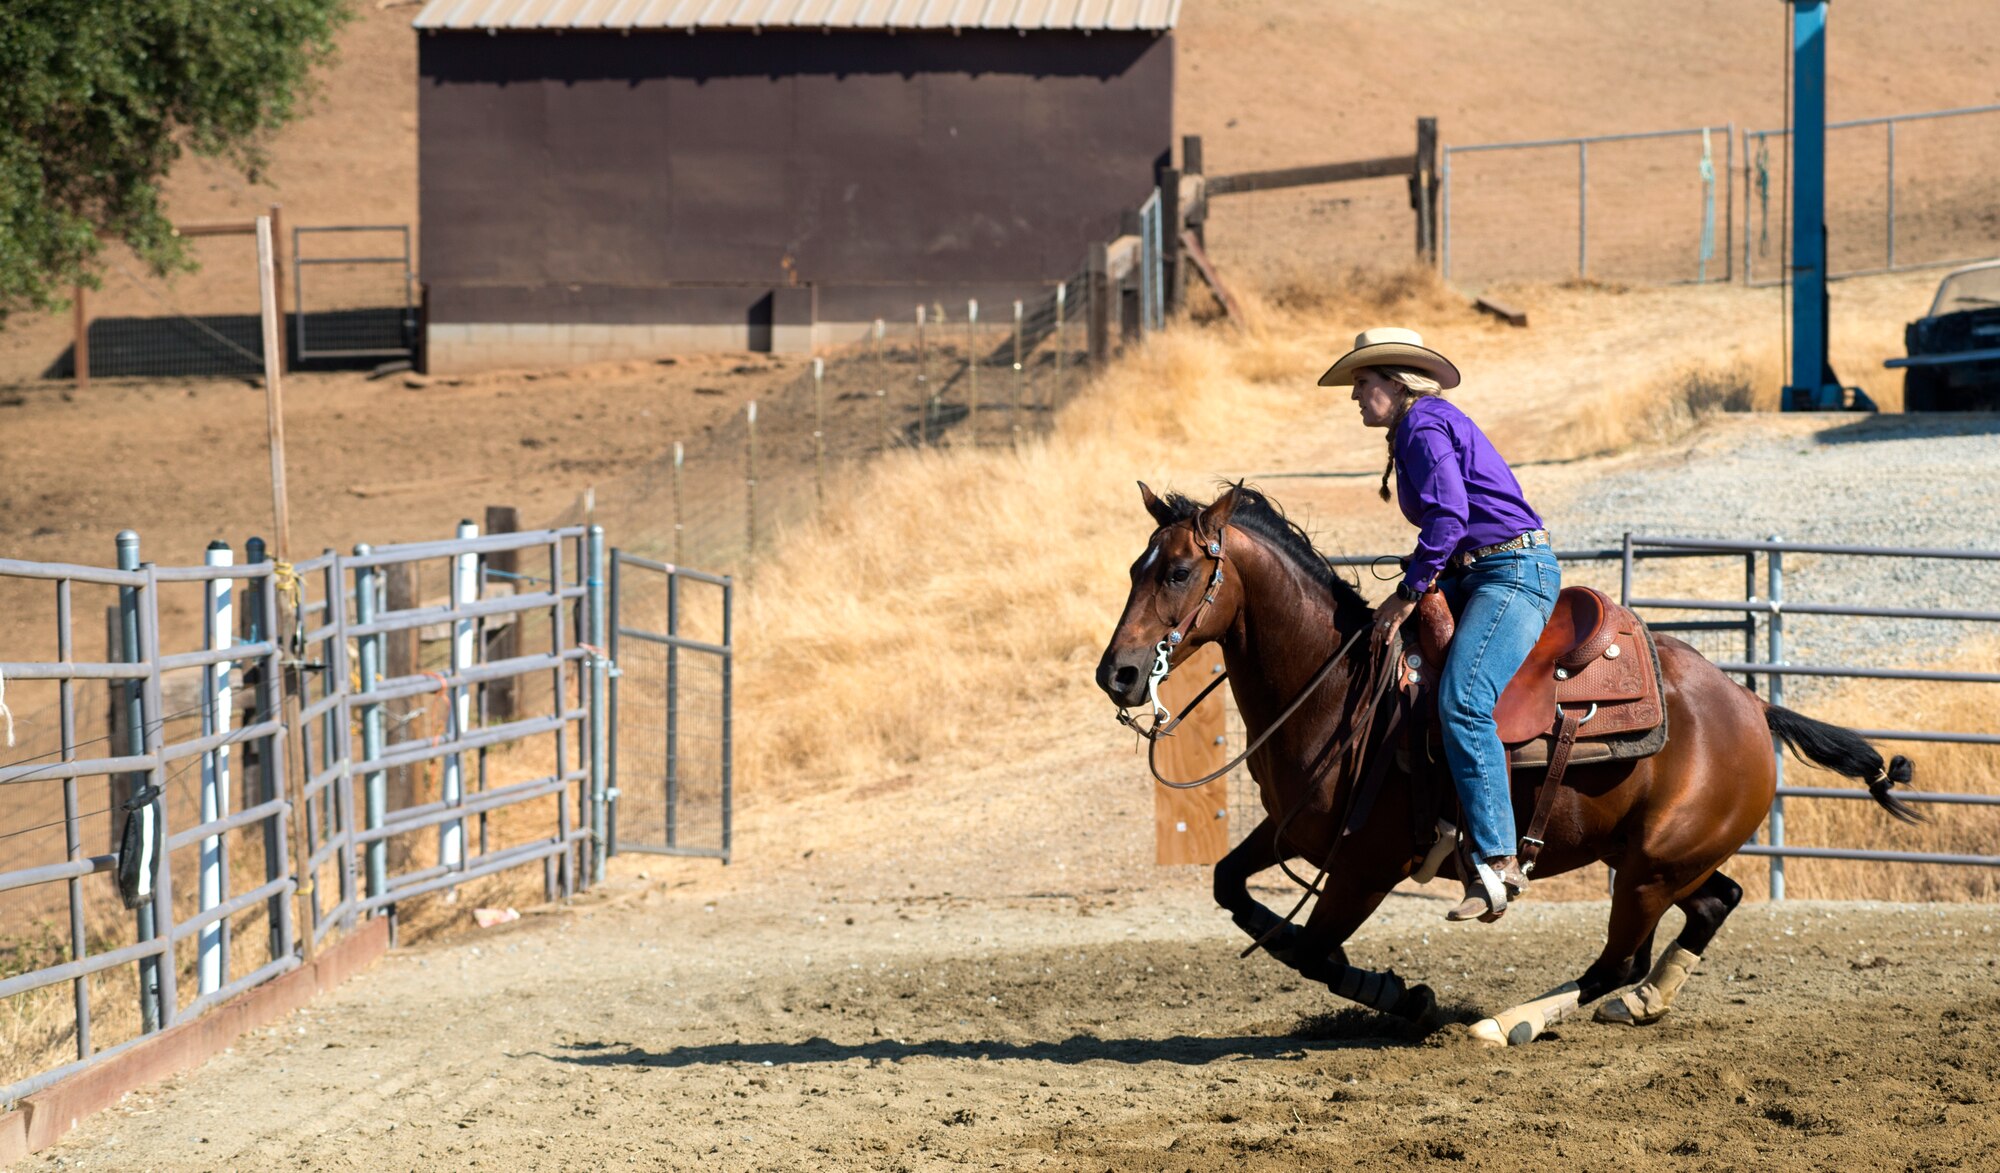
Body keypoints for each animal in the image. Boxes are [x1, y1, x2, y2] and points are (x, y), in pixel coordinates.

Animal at [1096, 482, 1920, 1040]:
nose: (1120, 675)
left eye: (1177, 572)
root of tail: (1751, 705)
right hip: (1654, 857)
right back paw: (1644, 1002)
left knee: (1618, 959)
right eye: (1133, 568)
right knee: (1713, 904)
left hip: (1652, 866)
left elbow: (1312, 948)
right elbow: (1230, 887)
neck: (1337, 689)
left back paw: (1509, 1023)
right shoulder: (1294, 832)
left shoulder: (1364, 866)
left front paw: (1404, 994)